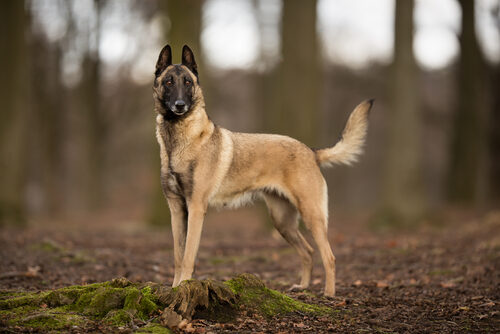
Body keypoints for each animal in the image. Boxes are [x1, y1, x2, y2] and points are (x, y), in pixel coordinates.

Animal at [154, 43, 374, 294]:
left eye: (188, 82)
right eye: (168, 82)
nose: (180, 105)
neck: (179, 140)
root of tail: (311, 151)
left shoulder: (196, 208)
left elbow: (188, 256)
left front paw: (184, 286)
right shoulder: (176, 210)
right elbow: (177, 256)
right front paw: (174, 288)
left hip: (312, 215)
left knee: (329, 256)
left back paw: (328, 294)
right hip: (282, 221)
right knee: (308, 252)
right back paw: (302, 286)